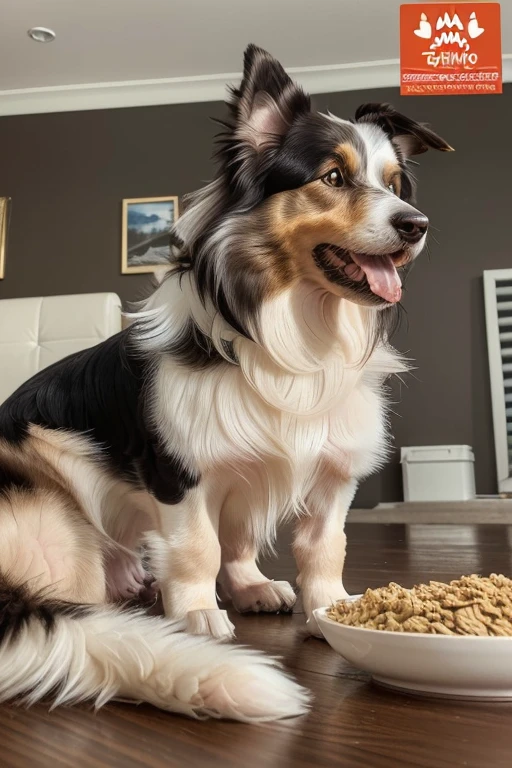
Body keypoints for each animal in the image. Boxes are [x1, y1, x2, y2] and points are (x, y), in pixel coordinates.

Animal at [0, 46, 452, 720]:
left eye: (394, 184)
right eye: (333, 178)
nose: (417, 224)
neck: (296, 328)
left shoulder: (325, 475)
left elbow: (312, 546)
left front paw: (317, 608)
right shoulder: (183, 474)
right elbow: (199, 547)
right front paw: (195, 613)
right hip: (58, 512)